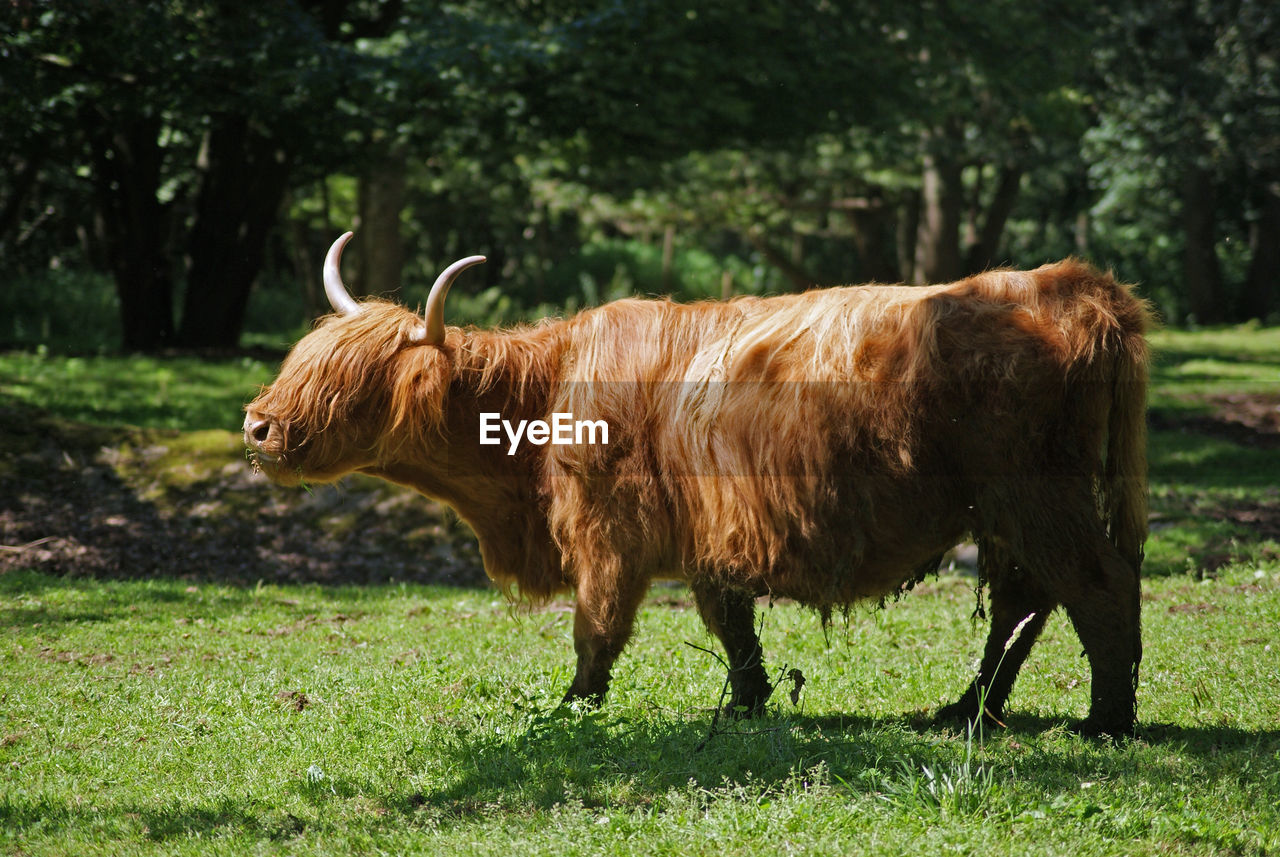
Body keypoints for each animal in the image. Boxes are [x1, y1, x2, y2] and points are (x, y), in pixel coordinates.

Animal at [241, 232, 1152, 736]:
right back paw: (970, 710)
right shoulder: (712, 530)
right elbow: (730, 623)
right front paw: (748, 703)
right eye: (300, 360)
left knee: (1095, 584)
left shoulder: (606, 530)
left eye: (351, 381)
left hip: (1034, 492)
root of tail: (1068, 284)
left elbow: (597, 629)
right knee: (1024, 600)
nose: (257, 427)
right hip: (1006, 508)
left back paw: (1103, 721)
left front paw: (571, 707)